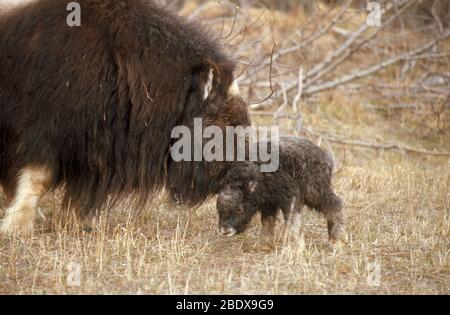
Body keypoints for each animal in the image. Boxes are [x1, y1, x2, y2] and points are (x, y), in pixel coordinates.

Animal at [216, 137, 346, 248]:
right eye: (219, 209)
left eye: (239, 209)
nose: (225, 231)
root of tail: (324, 157)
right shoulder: (269, 204)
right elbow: (267, 222)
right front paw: (264, 245)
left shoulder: (290, 199)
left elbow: (293, 221)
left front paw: (297, 247)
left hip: (316, 192)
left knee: (335, 205)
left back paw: (337, 240)